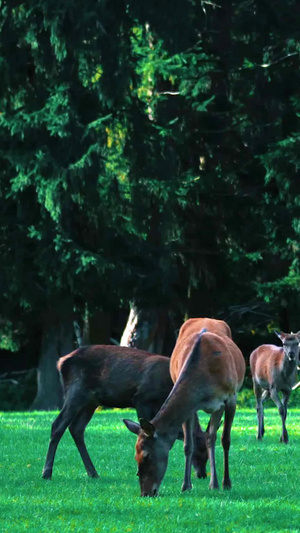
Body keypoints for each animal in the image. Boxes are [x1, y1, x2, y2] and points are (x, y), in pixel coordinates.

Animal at [41, 342, 209, 480]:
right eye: (200, 450)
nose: (202, 474)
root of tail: (61, 362)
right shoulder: (142, 398)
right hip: (76, 391)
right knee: (57, 425)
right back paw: (47, 473)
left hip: (91, 401)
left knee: (76, 428)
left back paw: (93, 473)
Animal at [123, 316, 245, 494]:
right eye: (135, 456)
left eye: (147, 455)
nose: (146, 492)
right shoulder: (192, 407)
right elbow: (188, 444)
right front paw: (186, 485)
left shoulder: (230, 397)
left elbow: (226, 440)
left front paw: (226, 483)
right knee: (209, 436)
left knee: (212, 437)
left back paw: (216, 483)